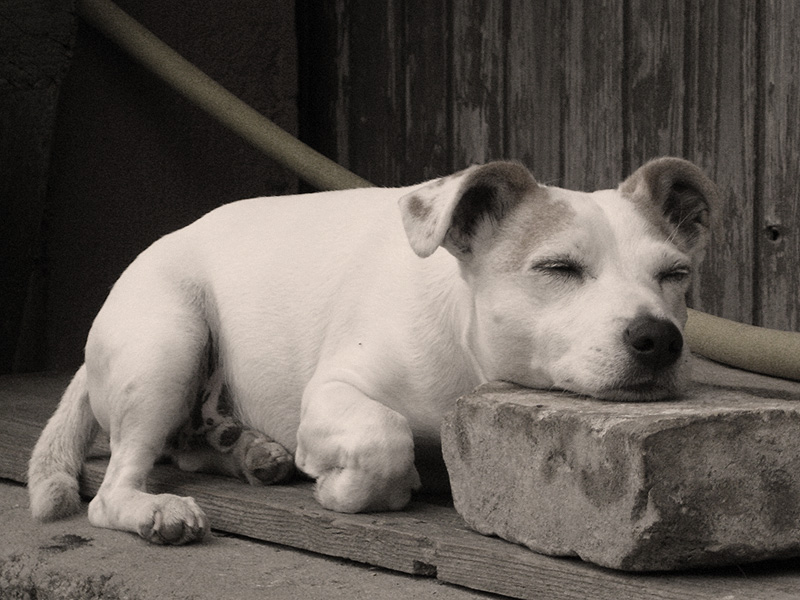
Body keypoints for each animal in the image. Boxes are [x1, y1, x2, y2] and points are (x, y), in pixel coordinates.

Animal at [28, 156, 716, 544]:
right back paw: (161, 509)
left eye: (676, 275)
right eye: (559, 268)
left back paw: (252, 453)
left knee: (191, 445)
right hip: (169, 342)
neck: (467, 359)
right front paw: (351, 490)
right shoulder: (334, 395)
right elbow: (384, 437)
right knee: (117, 484)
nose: (659, 337)